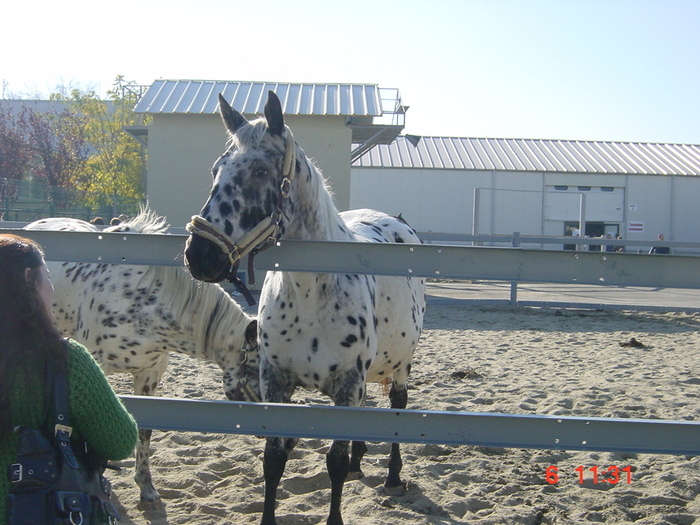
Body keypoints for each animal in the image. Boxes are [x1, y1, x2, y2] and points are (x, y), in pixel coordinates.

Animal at [24, 211, 262, 510]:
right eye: (257, 368)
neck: (142, 303)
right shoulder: (95, 370)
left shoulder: (150, 375)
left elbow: (144, 429)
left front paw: (146, 490)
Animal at [185, 91, 426, 524]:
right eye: (216, 169)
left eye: (260, 169)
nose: (199, 255)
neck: (311, 295)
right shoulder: (276, 381)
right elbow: (274, 458)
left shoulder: (347, 384)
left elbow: (333, 462)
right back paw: (361, 462)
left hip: (401, 363)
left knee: (398, 406)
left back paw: (393, 477)